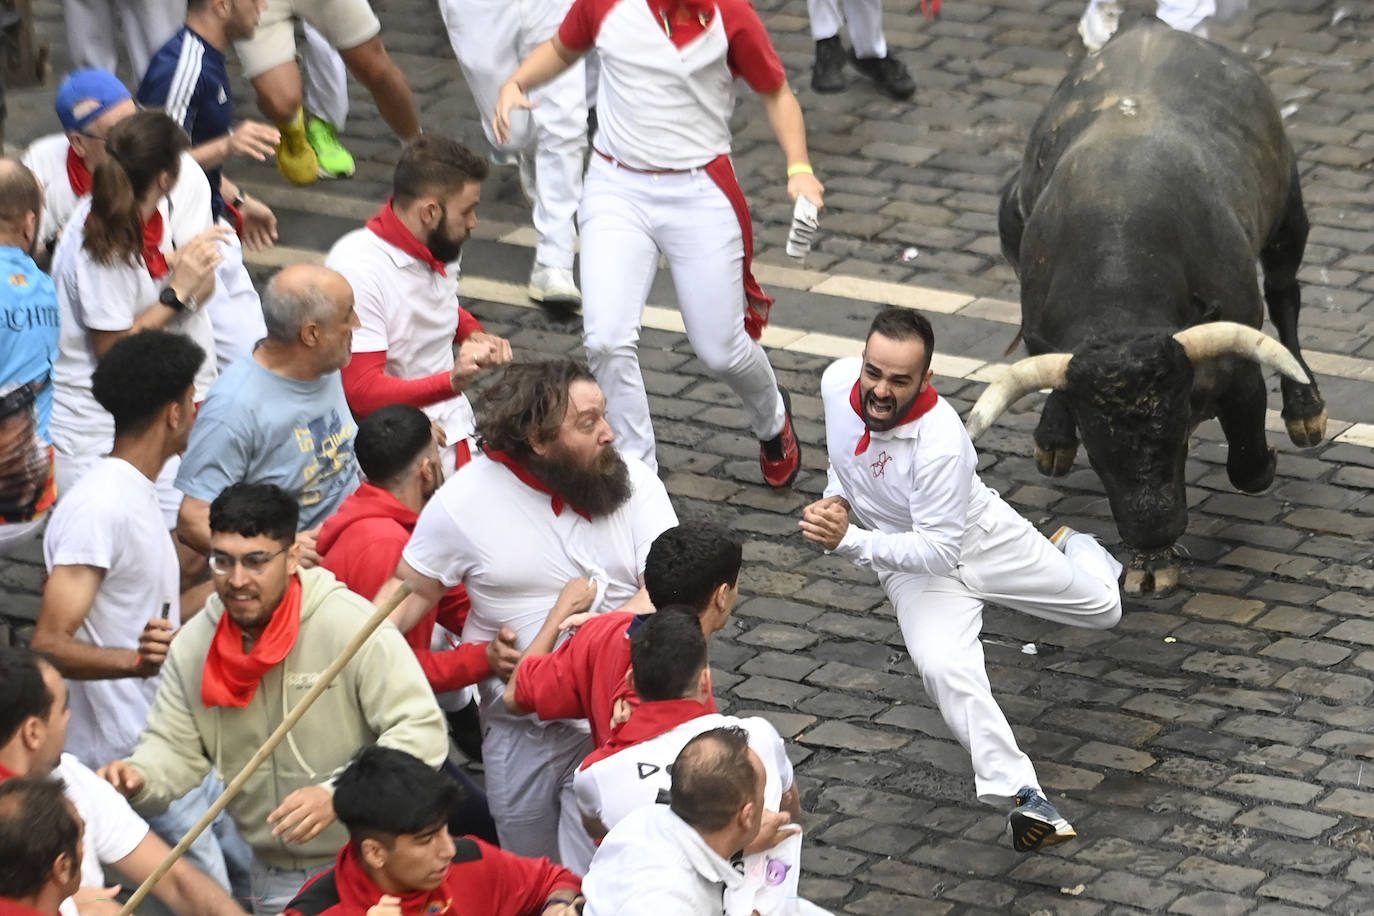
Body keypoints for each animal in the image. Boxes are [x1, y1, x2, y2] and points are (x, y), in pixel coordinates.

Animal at [967, 21, 1330, 598]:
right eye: (1100, 450)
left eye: (1177, 431)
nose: (1155, 529)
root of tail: (1153, 30)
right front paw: (1149, 561)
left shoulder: (1238, 371)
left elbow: (1249, 466)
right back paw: (1051, 439)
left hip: (1287, 214)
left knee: (1285, 293)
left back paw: (1304, 408)